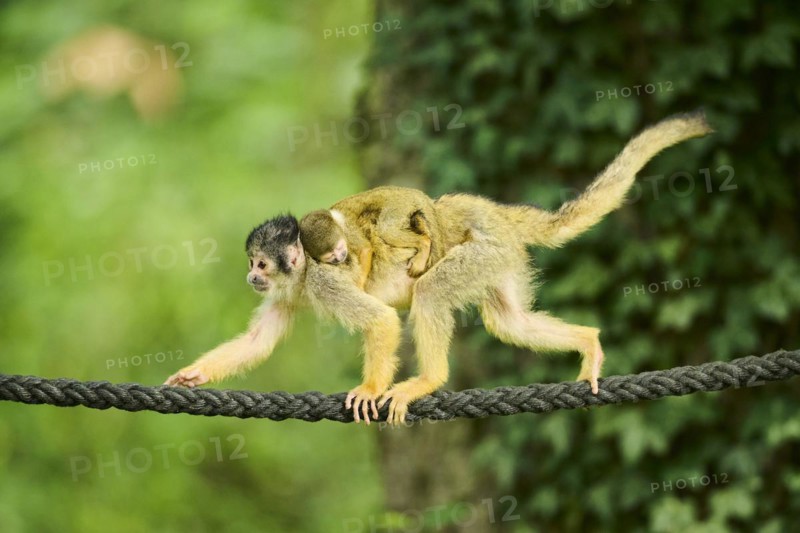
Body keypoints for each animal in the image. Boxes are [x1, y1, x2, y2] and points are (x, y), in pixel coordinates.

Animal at [165, 111, 713, 426]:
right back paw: (588, 341)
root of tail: (498, 218)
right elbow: (259, 341)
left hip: (475, 251)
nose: (251, 278)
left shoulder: (320, 280)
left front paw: (369, 389)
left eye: (260, 263)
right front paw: (193, 375)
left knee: (430, 292)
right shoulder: (291, 290)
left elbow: (380, 321)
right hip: (499, 258)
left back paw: (428, 378)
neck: (302, 274)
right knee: (509, 321)